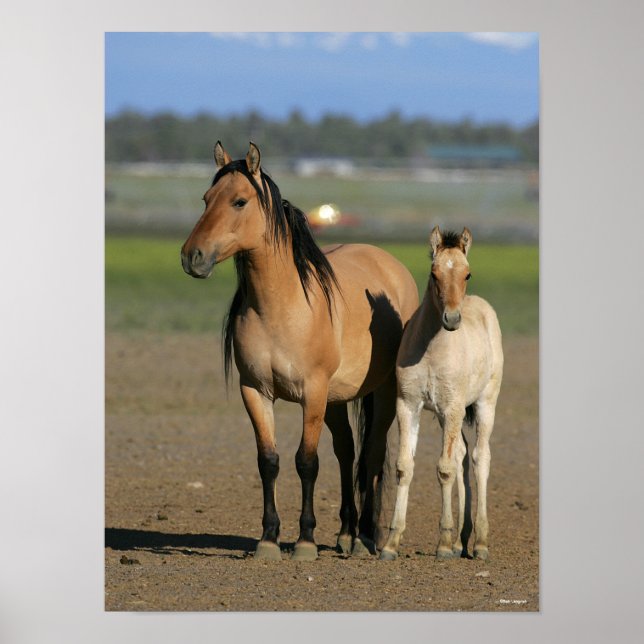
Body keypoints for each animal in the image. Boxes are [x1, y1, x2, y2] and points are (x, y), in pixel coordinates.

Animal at [181, 142, 419, 561]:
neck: (282, 306)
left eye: (239, 201)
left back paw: (366, 538)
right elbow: (269, 461)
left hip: (383, 393)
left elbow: (307, 462)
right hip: (337, 400)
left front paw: (305, 540)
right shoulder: (255, 392)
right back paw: (346, 534)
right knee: (347, 452)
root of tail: (391, 266)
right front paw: (269, 539)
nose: (191, 256)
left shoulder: (313, 393)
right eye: (206, 199)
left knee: (372, 455)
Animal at [380, 226, 503, 561]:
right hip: (447, 416)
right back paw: (463, 540)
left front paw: (443, 544)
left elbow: (444, 469)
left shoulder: (453, 408)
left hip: (484, 404)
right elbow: (405, 467)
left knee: (480, 458)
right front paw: (391, 543)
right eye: (434, 274)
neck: (432, 350)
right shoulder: (408, 406)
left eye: (467, 274)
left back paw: (480, 543)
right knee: (462, 453)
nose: (452, 319)